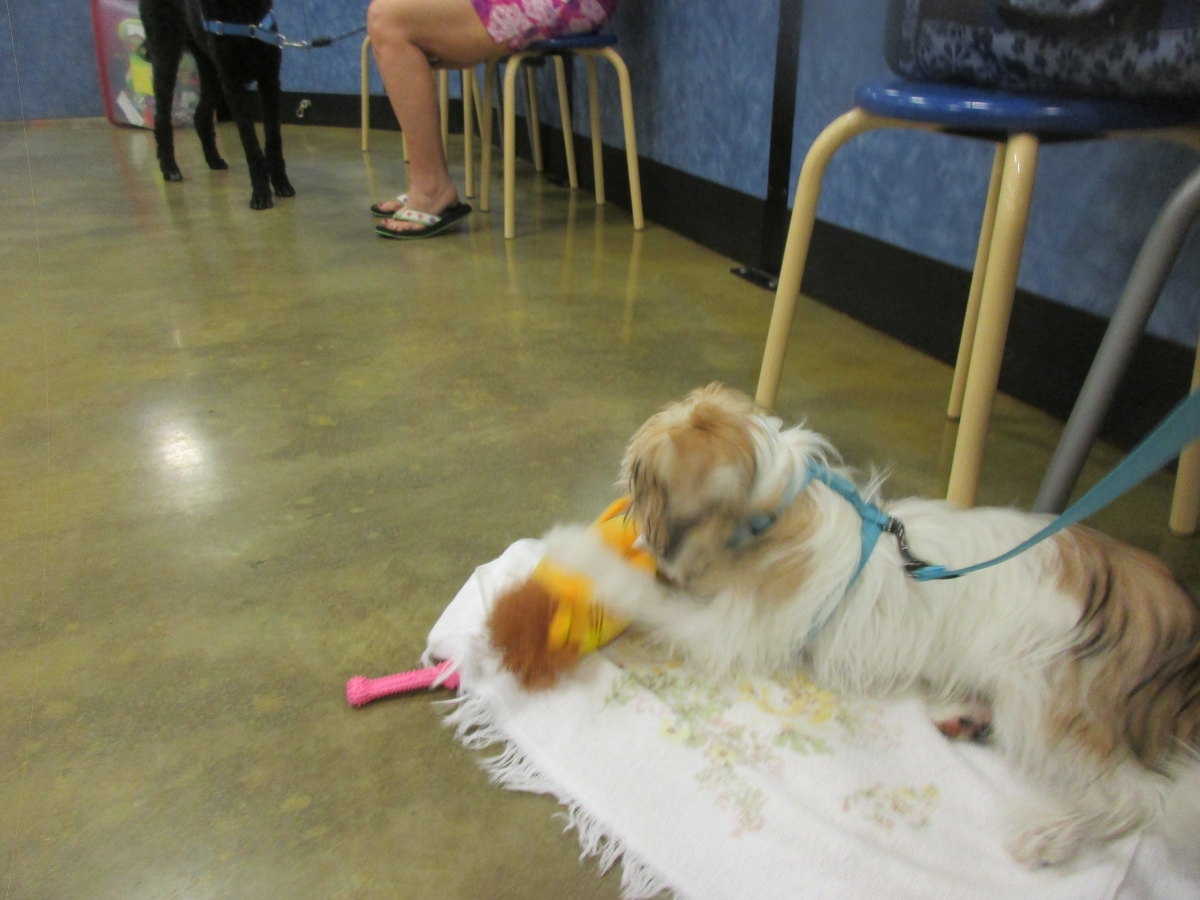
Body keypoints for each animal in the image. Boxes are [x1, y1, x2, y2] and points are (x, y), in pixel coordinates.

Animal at [139, 0, 294, 209]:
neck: (239, 10)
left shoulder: (269, 79)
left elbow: (273, 138)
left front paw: (281, 183)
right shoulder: (232, 84)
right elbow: (250, 143)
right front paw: (261, 193)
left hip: (210, 68)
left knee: (200, 115)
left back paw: (213, 159)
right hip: (166, 53)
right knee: (161, 117)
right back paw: (170, 168)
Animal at [541, 384, 1200, 867]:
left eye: (641, 479)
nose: (631, 515)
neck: (774, 512)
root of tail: (1166, 606)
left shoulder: (732, 631)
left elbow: (647, 595)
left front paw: (578, 552)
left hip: (1046, 698)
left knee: (1143, 797)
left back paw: (1053, 833)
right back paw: (962, 714)